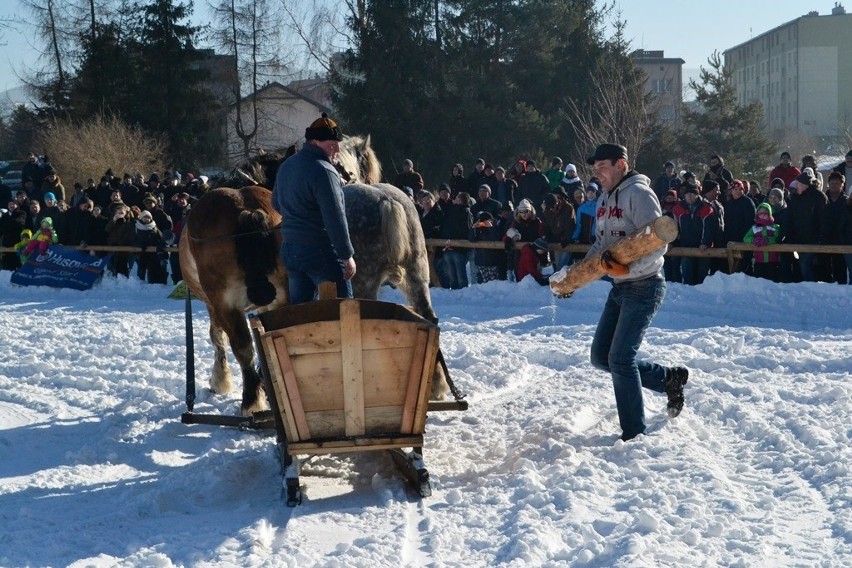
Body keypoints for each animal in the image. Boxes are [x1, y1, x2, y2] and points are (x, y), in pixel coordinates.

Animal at [179, 135, 446, 414]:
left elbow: (219, 336)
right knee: (429, 317)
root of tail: (387, 201)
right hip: (415, 274)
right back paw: (436, 385)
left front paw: (220, 380)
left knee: (241, 343)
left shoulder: (216, 303)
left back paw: (253, 401)